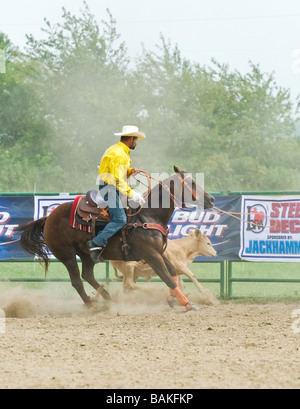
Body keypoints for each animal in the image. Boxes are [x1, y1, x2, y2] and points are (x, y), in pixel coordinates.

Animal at [17, 166, 214, 310]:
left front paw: (173, 298)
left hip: (87, 255)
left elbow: (173, 273)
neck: (148, 215)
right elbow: (167, 277)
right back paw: (91, 305)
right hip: (66, 255)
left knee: (87, 275)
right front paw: (187, 304)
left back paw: (108, 299)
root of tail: (49, 217)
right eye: (192, 183)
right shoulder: (151, 255)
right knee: (77, 281)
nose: (211, 199)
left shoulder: (159, 252)